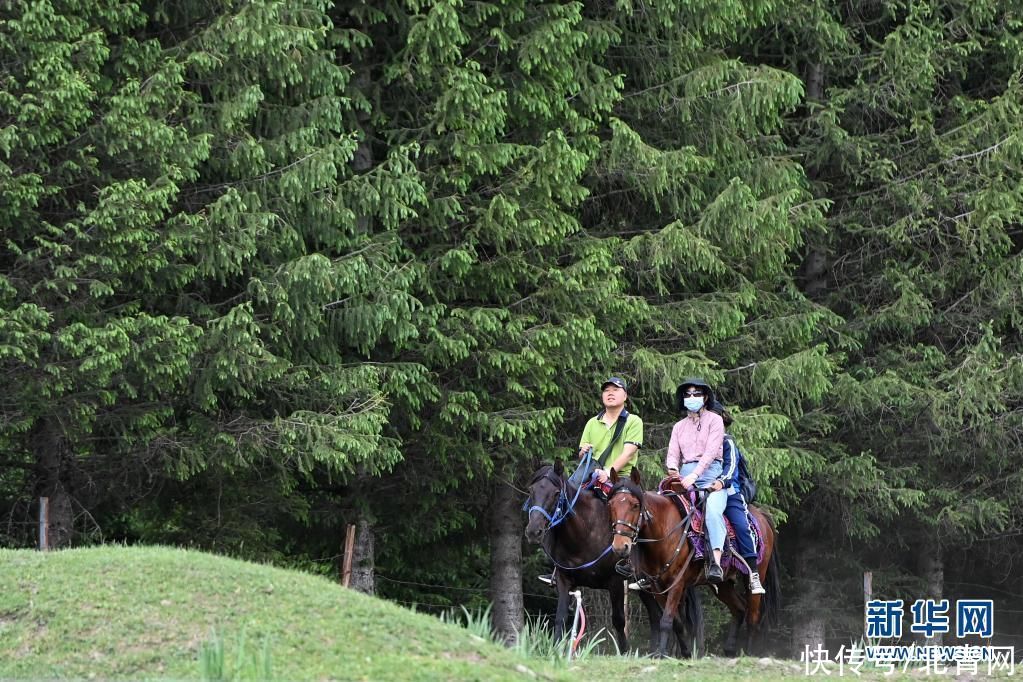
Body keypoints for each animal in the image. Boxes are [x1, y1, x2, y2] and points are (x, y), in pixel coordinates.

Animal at [523, 462, 699, 654]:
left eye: (556, 493)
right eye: (531, 490)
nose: (533, 531)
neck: (586, 531)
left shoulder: (615, 582)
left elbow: (619, 620)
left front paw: (624, 652)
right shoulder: (564, 580)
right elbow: (560, 617)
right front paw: (555, 652)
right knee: (656, 615)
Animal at [605, 470, 773, 654]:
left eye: (635, 505)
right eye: (611, 505)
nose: (620, 546)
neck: (666, 531)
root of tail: (762, 516)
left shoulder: (677, 584)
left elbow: (666, 620)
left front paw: (661, 653)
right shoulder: (657, 587)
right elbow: (676, 622)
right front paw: (685, 653)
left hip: (756, 573)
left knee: (753, 617)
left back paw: (749, 652)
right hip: (722, 584)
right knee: (739, 609)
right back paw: (729, 650)